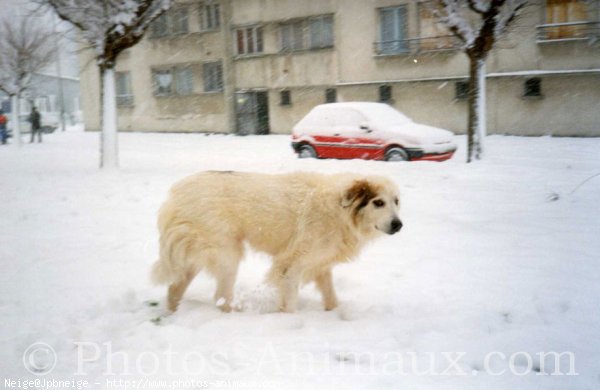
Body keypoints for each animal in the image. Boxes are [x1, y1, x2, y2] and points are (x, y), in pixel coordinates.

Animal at [152, 172, 400, 312]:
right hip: (228, 255)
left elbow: (331, 297)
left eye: (396, 201)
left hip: (197, 256)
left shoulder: (320, 265)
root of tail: (177, 192)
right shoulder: (291, 265)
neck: (340, 208)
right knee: (221, 296)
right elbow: (290, 304)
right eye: (378, 203)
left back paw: (172, 314)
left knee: (174, 289)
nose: (398, 225)